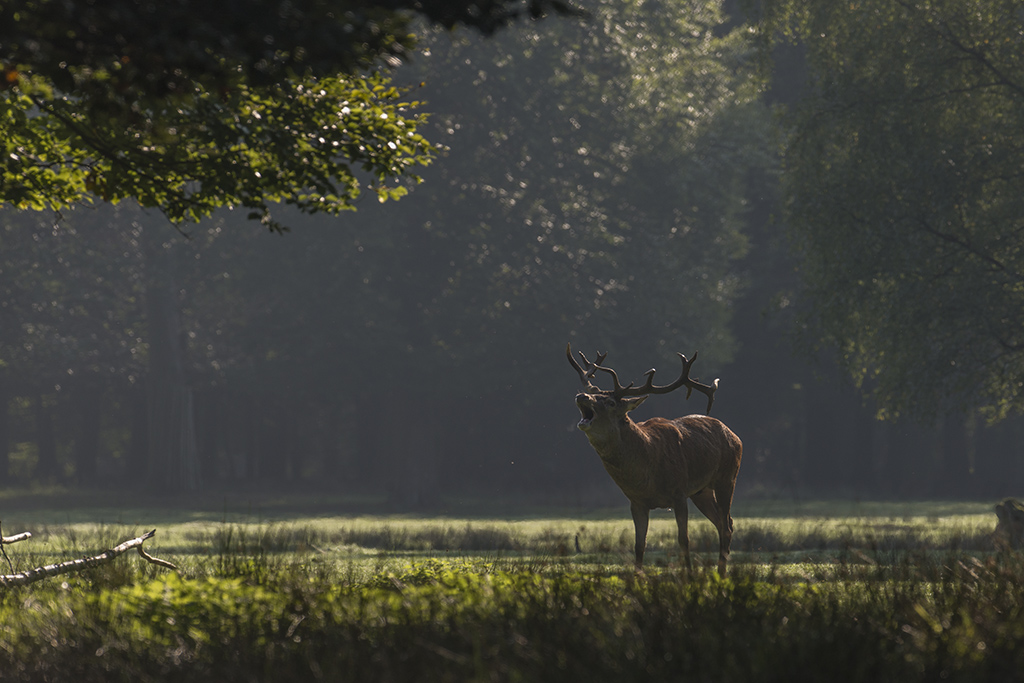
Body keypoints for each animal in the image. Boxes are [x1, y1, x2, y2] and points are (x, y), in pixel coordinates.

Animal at [567, 343, 742, 576]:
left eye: (611, 402)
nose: (582, 396)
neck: (647, 472)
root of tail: (734, 435)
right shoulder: (636, 502)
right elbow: (639, 544)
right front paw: (637, 576)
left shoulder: (679, 493)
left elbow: (683, 539)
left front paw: (689, 575)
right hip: (701, 491)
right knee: (723, 523)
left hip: (728, 477)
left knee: (726, 524)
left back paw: (721, 572)